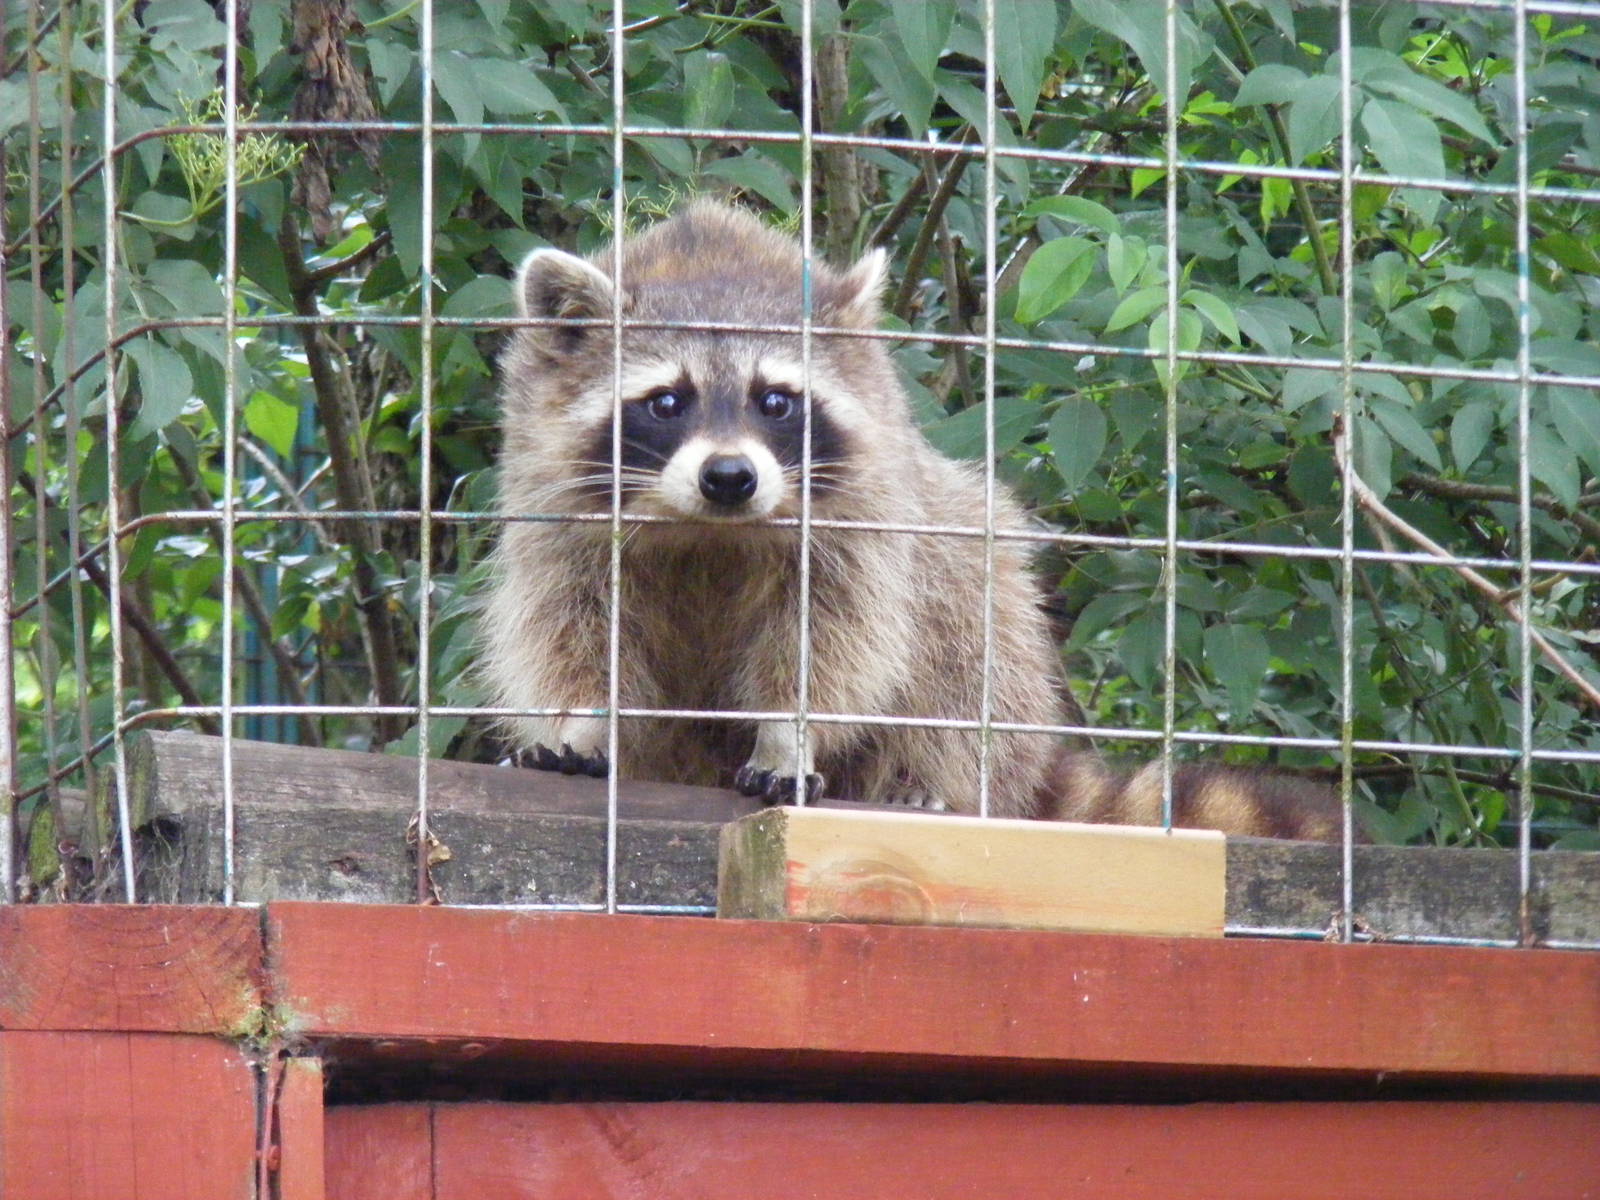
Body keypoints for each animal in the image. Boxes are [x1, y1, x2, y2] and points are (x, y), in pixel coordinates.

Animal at [482, 201, 1345, 838]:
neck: (710, 530)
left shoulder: (864, 512)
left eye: (775, 401)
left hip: (980, 607)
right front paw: (579, 721)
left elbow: (838, 634)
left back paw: (926, 778)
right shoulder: (553, 498)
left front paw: (788, 729)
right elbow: (566, 621)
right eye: (667, 402)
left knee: (965, 633)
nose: (730, 479)